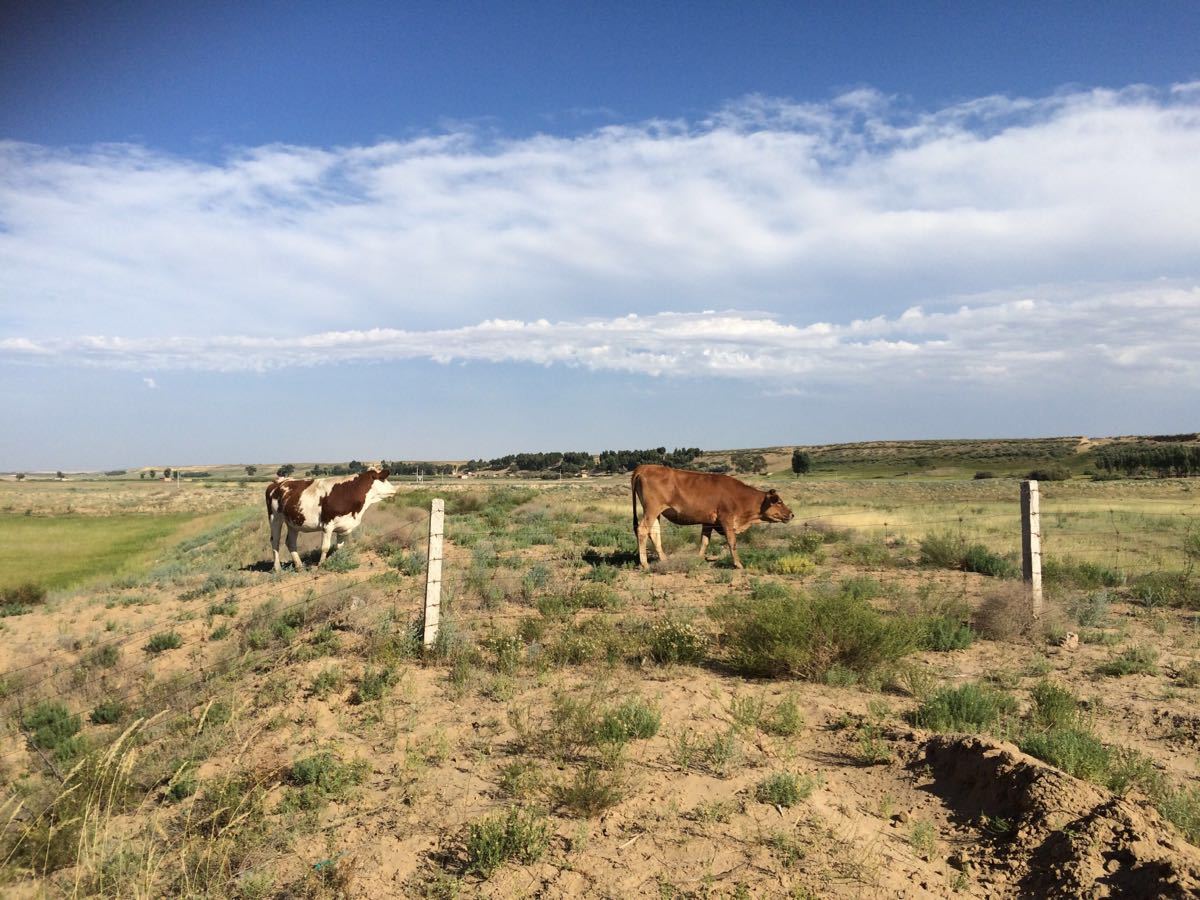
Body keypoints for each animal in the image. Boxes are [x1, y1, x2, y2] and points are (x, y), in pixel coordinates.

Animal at [265, 468, 396, 573]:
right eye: (383, 479)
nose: (395, 490)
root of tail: (278, 482)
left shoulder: (343, 527)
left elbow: (338, 547)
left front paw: (337, 560)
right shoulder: (327, 525)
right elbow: (325, 547)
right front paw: (321, 565)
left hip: (293, 522)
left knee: (290, 542)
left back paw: (299, 566)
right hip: (275, 518)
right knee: (275, 541)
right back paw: (277, 568)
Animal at [633, 465, 792, 571]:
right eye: (779, 501)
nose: (791, 514)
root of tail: (644, 468)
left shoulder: (708, 522)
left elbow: (704, 541)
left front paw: (698, 560)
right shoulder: (726, 519)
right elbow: (732, 542)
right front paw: (738, 564)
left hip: (656, 513)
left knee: (654, 533)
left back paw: (664, 560)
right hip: (652, 510)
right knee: (642, 530)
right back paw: (644, 563)